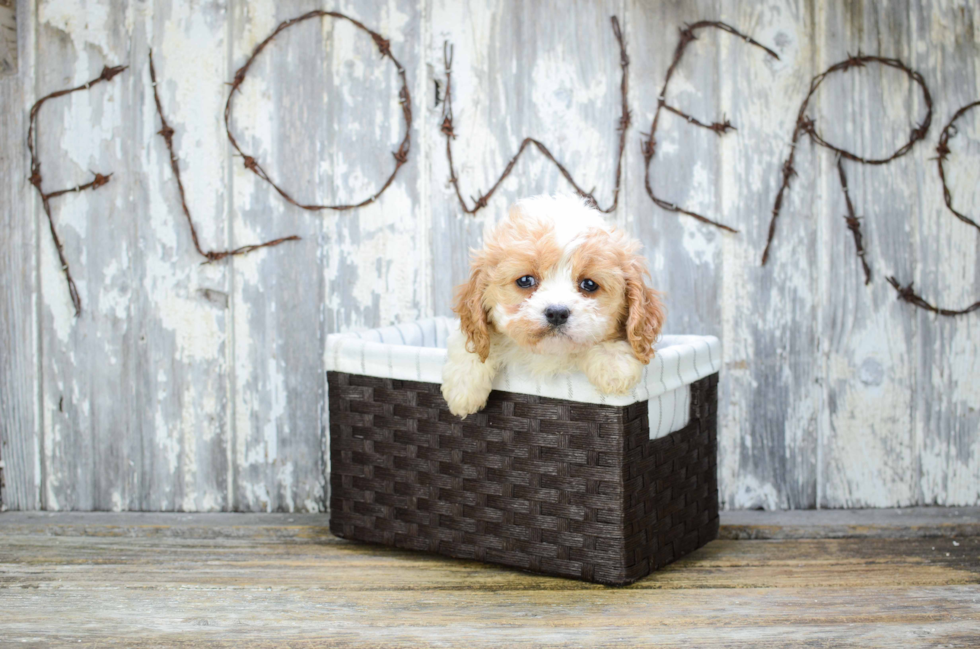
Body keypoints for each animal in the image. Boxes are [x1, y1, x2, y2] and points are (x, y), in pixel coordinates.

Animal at [442, 192, 668, 416]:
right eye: (525, 280)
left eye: (589, 284)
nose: (557, 313)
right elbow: (472, 343)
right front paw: (463, 388)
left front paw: (613, 364)